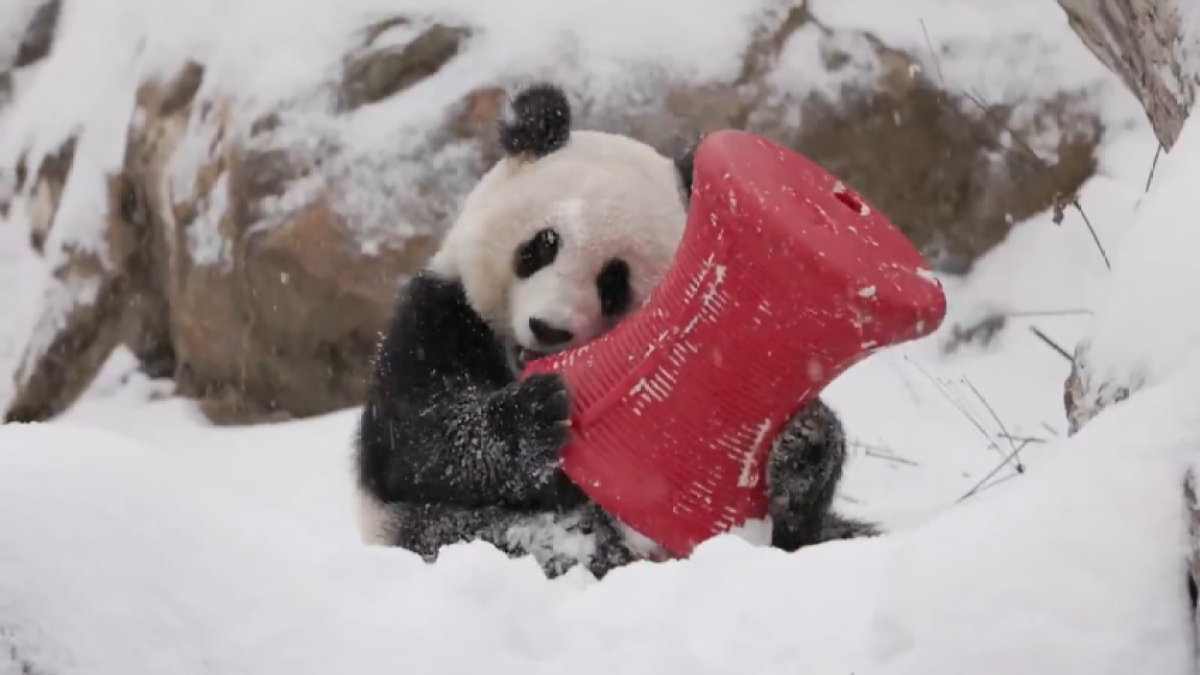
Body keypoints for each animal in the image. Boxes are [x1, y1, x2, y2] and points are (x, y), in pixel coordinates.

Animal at [350, 81, 878, 576]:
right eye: (541, 245)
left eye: (614, 283)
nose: (549, 329)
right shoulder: (437, 319)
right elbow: (417, 442)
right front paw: (536, 416)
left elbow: (781, 519)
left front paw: (801, 442)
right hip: (423, 530)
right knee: (496, 533)